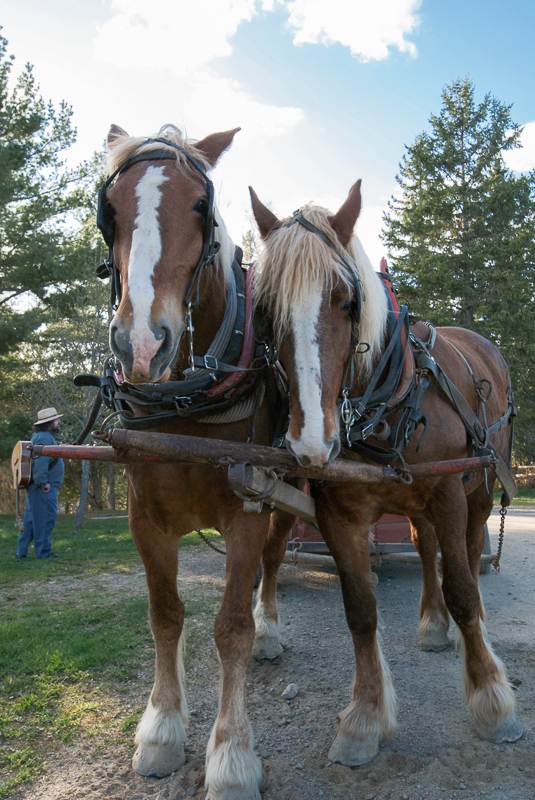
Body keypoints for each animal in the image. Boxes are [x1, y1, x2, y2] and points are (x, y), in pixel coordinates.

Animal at [98, 125, 296, 800]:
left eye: (199, 207)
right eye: (110, 212)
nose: (141, 344)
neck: (184, 398)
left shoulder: (247, 513)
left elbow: (230, 629)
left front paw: (231, 756)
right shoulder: (144, 518)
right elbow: (165, 615)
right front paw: (161, 730)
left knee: (273, 564)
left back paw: (271, 631)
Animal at [251, 181, 524, 768]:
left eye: (348, 301)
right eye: (263, 310)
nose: (312, 443)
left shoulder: (448, 491)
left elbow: (462, 587)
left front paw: (492, 700)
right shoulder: (338, 514)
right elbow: (360, 611)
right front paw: (365, 717)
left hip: (480, 486)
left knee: (469, 551)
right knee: (422, 548)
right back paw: (430, 623)